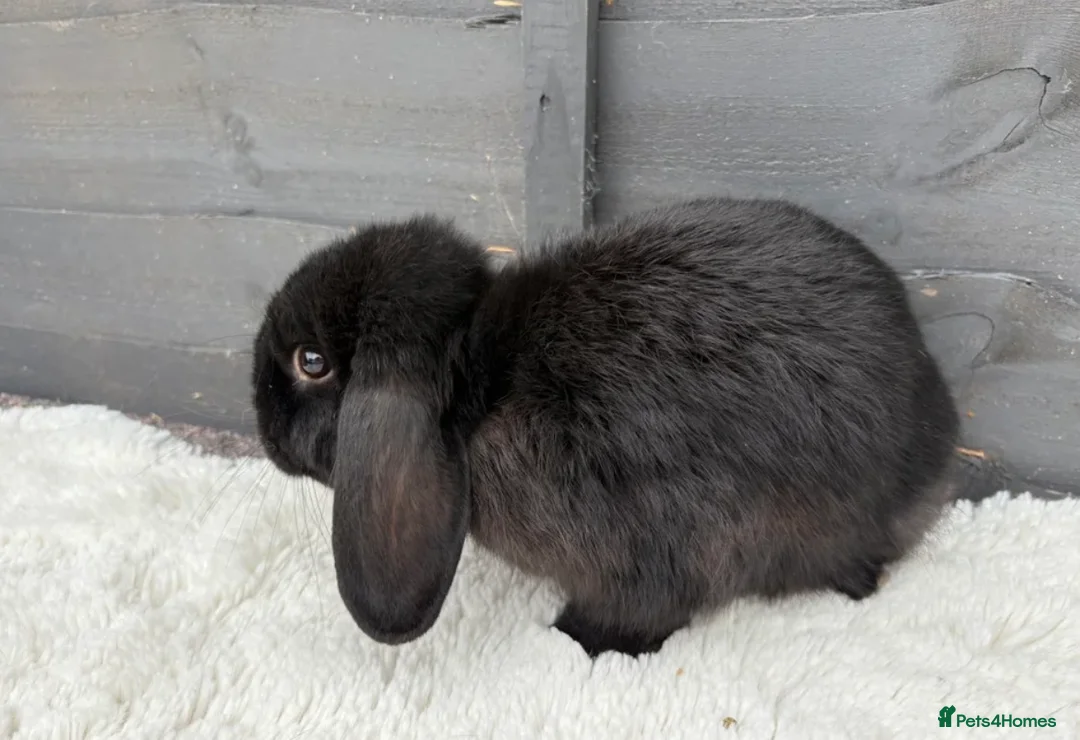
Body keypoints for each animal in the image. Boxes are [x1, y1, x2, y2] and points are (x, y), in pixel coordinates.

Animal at [251, 197, 961, 659]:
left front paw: (570, 639)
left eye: (311, 362)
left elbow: (636, 614)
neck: (481, 383)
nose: (263, 429)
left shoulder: (649, 550)